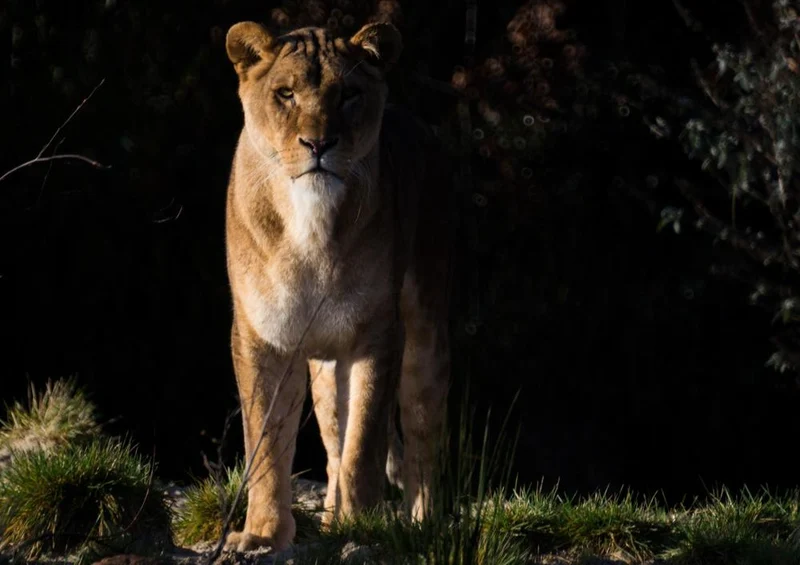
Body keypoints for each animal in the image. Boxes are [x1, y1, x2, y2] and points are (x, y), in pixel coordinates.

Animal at [223, 20, 452, 552]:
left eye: (348, 95)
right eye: (285, 94)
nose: (318, 144)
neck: (308, 220)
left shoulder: (376, 335)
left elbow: (364, 442)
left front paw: (361, 526)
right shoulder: (261, 338)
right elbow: (266, 444)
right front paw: (264, 533)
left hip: (425, 331)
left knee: (421, 429)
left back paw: (421, 523)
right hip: (325, 366)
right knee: (331, 442)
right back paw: (328, 521)